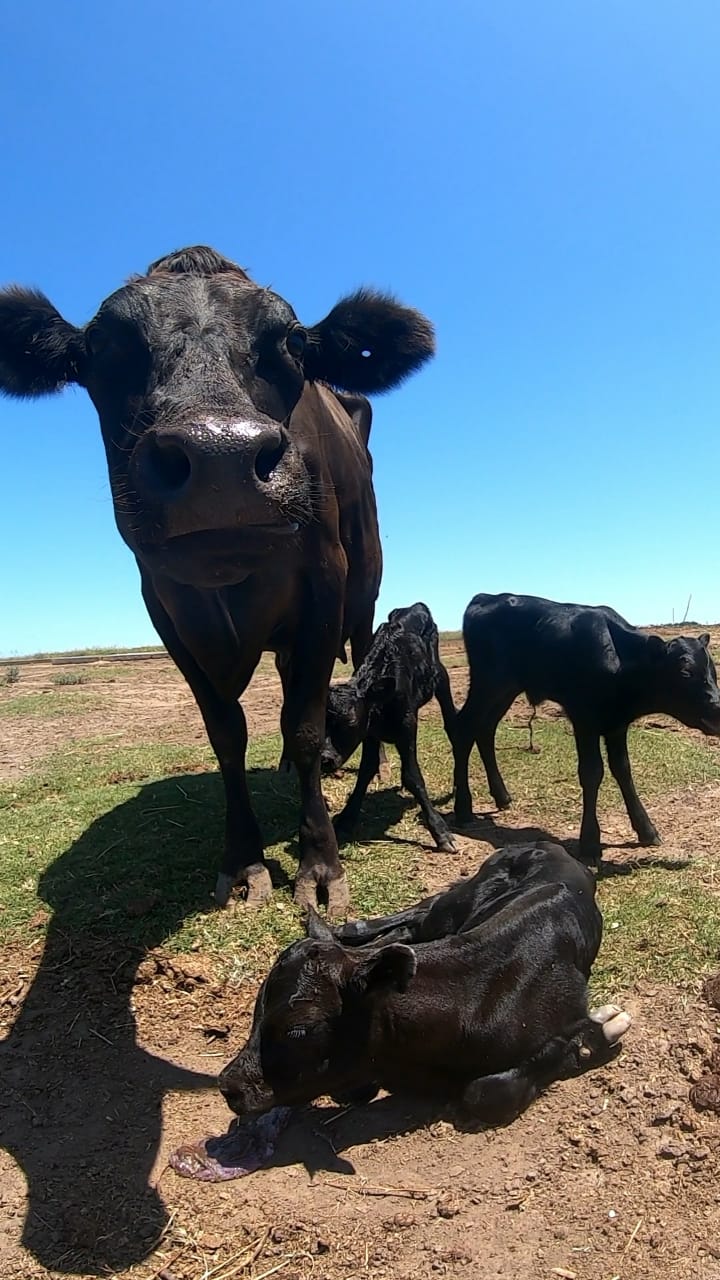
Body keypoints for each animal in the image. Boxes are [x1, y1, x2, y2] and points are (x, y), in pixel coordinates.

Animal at [0, 244, 430, 916]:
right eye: (105, 345)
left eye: (293, 341)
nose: (219, 456)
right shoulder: (165, 608)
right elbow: (227, 733)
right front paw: (244, 860)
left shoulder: (324, 589)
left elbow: (305, 725)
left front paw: (320, 865)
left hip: (365, 599)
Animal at [217, 839, 627, 1131]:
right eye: (257, 1010)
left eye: (298, 1030)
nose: (228, 1085)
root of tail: (547, 844)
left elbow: (484, 1092)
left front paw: (594, 1035)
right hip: (455, 904)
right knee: (414, 915)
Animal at [319, 604, 453, 855]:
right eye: (321, 724)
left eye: (350, 722)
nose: (325, 759)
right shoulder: (370, 733)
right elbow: (366, 771)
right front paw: (346, 819)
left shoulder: (407, 727)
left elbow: (412, 776)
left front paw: (440, 831)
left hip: (440, 676)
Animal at [450, 593, 717, 865]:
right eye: (685, 672)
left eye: (712, 670)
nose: (717, 709)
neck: (619, 662)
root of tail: (487, 596)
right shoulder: (583, 720)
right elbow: (591, 772)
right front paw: (590, 842)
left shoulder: (616, 725)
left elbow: (623, 769)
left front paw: (646, 829)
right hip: (488, 683)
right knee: (464, 728)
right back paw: (463, 808)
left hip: (506, 689)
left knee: (485, 730)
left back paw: (501, 795)